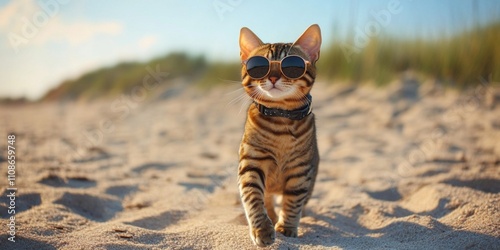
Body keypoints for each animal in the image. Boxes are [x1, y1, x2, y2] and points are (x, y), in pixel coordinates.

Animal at [237, 24, 320, 247]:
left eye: (291, 65)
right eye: (259, 66)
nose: (273, 77)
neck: (281, 118)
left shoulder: (301, 169)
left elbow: (293, 201)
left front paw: (287, 228)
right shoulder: (252, 162)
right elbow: (254, 197)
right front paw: (262, 229)